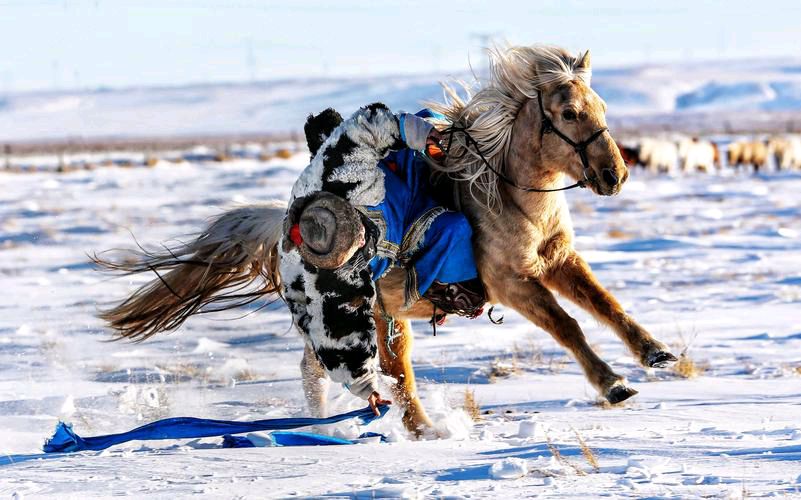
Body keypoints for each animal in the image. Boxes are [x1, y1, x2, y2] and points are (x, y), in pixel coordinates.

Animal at [95, 45, 677, 437]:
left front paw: (656, 353)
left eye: (600, 105)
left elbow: (606, 304)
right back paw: (417, 431)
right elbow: (569, 325)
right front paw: (613, 384)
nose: (615, 175)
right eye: (569, 113)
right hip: (374, 320)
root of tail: (286, 235)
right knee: (391, 377)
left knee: (320, 371)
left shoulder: (557, 260)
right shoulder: (513, 283)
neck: (506, 198)